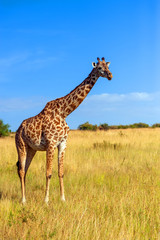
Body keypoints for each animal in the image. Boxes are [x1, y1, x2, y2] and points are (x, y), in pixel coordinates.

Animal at [15, 57, 112, 203]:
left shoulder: (63, 143)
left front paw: (63, 199)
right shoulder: (51, 144)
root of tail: (18, 129)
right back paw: (23, 201)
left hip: (31, 149)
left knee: (25, 170)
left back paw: (24, 198)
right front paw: (46, 201)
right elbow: (48, 173)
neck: (64, 112)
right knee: (21, 170)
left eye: (108, 66)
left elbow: (61, 172)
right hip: (21, 145)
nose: (110, 75)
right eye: (100, 68)